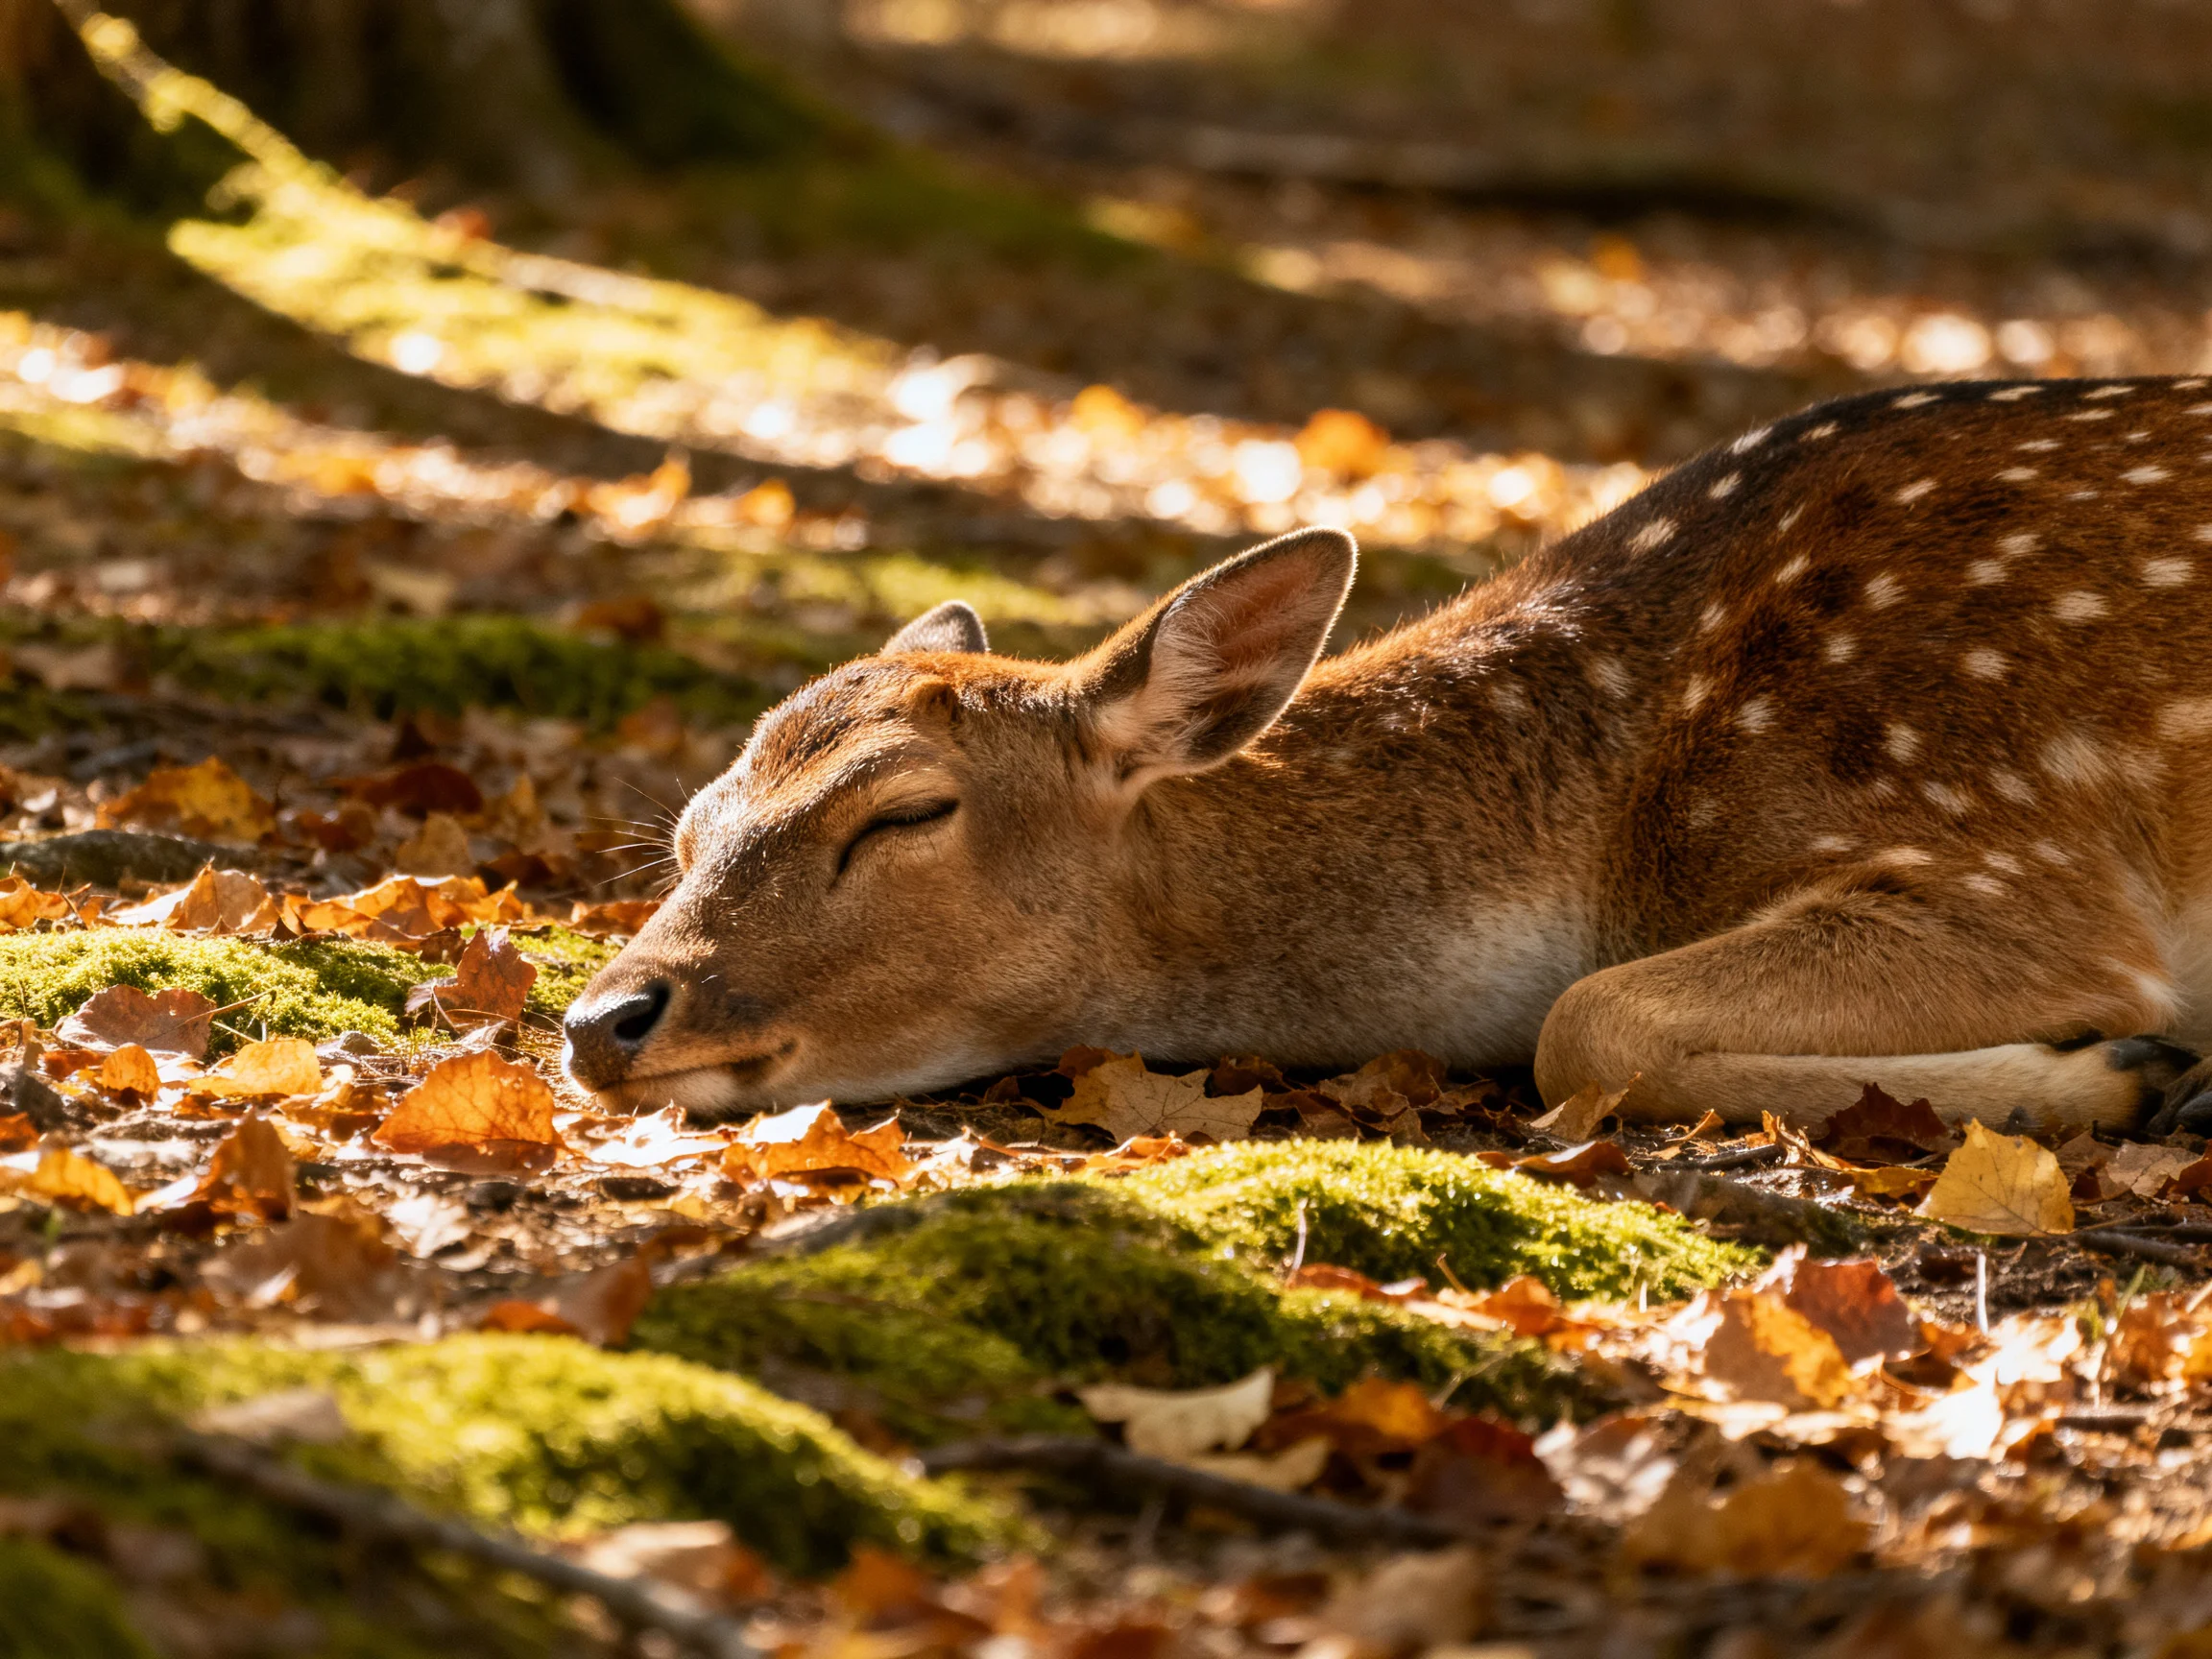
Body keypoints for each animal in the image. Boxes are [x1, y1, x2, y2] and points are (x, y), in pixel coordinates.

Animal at [563, 376, 2212, 1137]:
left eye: (904, 813)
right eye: (691, 823)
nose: (604, 1019)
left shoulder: (2005, 849)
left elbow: (1583, 1022)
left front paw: (2129, 1065)